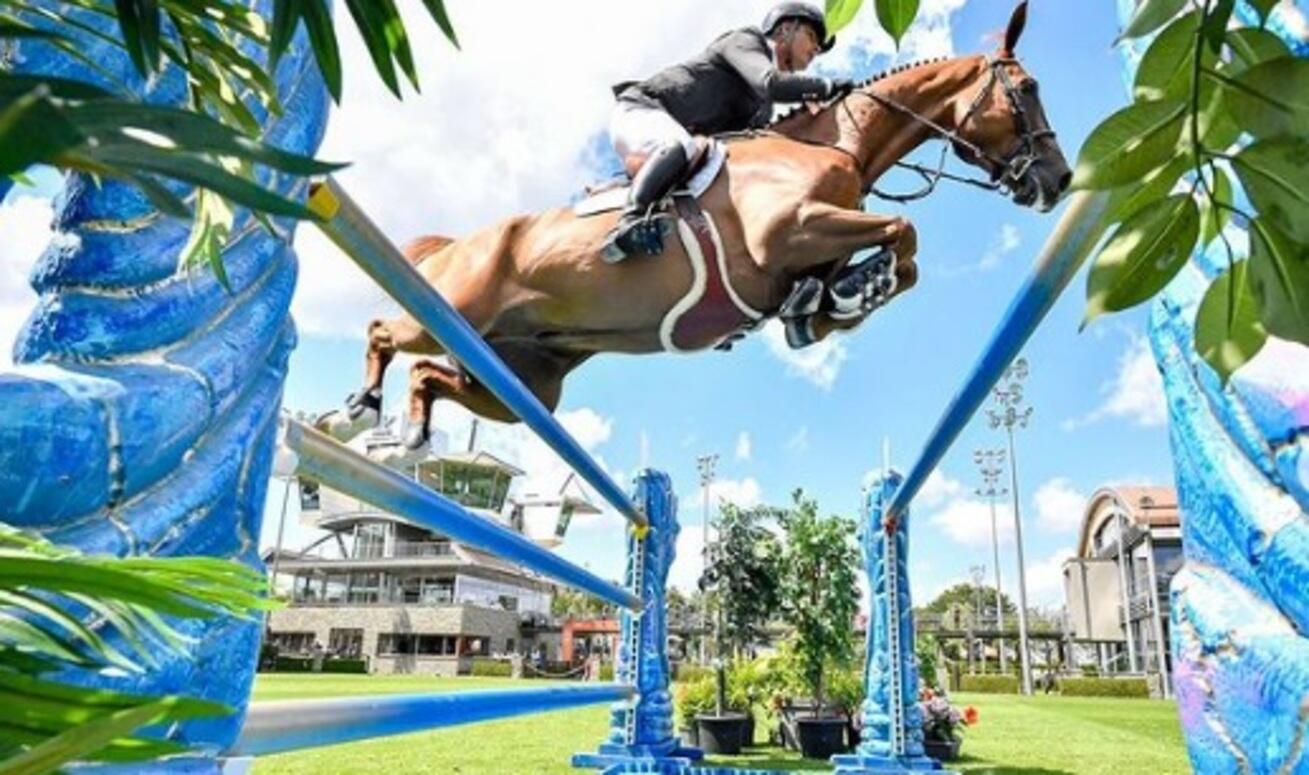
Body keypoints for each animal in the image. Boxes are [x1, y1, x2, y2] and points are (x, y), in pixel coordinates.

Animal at [322, 3, 1068, 447]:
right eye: (1027, 89)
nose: (1059, 181)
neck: (834, 145)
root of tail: (460, 243)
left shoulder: (815, 244)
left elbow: (888, 259)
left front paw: (826, 306)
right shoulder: (792, 230)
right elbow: (904, 237)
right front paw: (858, 290)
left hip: (522, 382)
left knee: (429, 376)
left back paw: (411, 431)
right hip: (450, 311)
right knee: (383, 332)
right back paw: (359, 408)